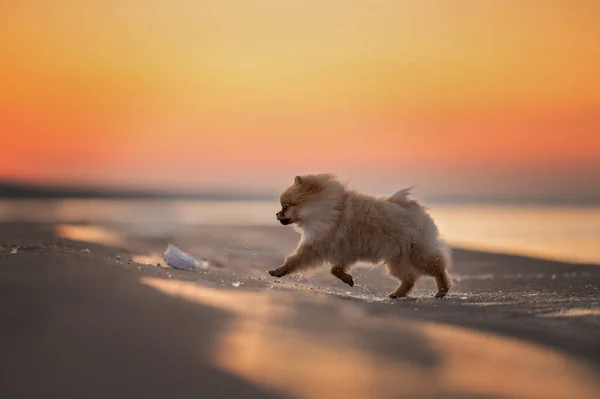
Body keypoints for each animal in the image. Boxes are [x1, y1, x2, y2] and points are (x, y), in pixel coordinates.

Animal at [266, 173, 450, 298]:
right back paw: (398, 294)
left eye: (285, 206)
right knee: (409, 278)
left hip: (417, 254)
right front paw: (348, 279)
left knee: (438, 268)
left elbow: (295, 260)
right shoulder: (344, 251)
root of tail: (414, 209)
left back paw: (442, 290)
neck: (328, 210)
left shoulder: (317, 245)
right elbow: (335, 269)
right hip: (397, 259)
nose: (276, 214)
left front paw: (279, 270)